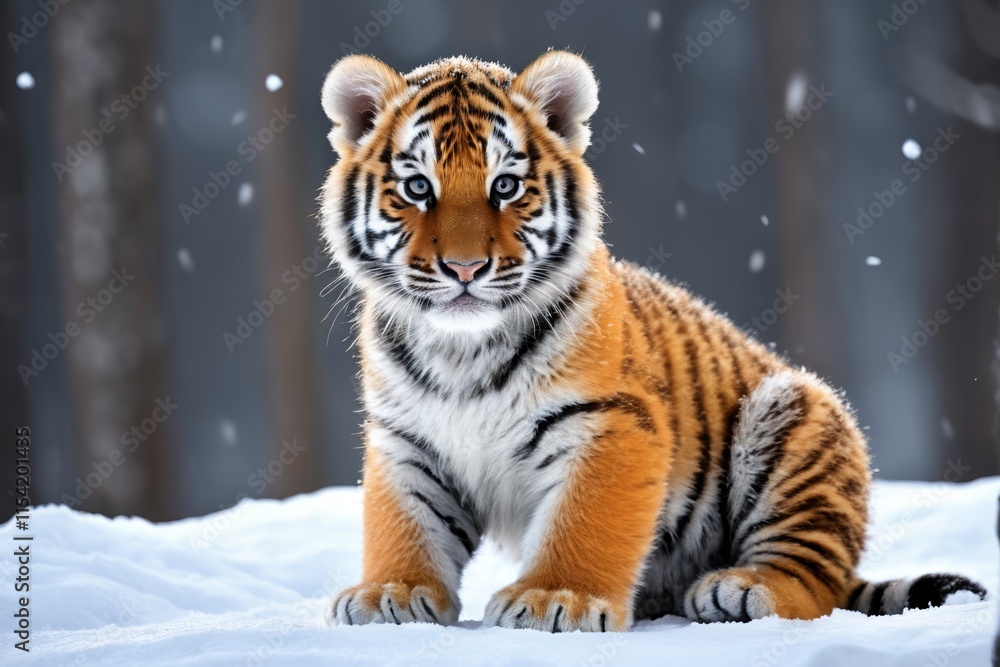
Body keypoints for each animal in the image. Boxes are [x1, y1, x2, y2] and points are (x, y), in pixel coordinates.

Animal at [317, 50, 987, 632]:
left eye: (505, 186)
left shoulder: (611, 421)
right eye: (418, 188)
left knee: (814, 580)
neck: (461, 350)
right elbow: (406, 522)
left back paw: (740, 589)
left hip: (797, 418)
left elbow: (582, 521)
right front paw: (391, 592)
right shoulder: (406, 439)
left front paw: (555, 598)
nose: (464, 269)